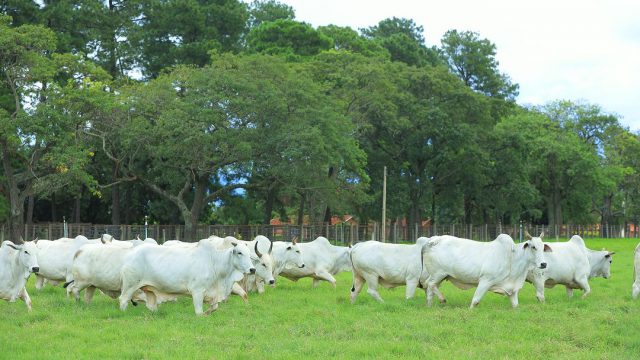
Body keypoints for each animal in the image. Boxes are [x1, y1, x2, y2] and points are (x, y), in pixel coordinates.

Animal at [120, 239, 255, 316]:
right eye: (239, 252)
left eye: (249, 254)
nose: (252, 269)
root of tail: (130, 253)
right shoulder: (197, 291)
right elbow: (199, 312)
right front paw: (202, 315)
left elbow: (214, 307)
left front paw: (207, 314)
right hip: (130, 285)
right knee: (123, 299)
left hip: (149, 289)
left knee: (151, 306)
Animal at [422, 233, 552, 310]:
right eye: (533, 247)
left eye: (543, 247)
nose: (543, 264)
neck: (511, 257)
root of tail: (433, 240)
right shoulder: (485, 280)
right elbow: (475, 300)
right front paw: (471, 310)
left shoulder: (513, 290)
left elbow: (515, 305)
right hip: (439, 273)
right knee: (430, 284)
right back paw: (442, 299)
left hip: (441, 276)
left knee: (430, 289)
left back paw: (429, 306)